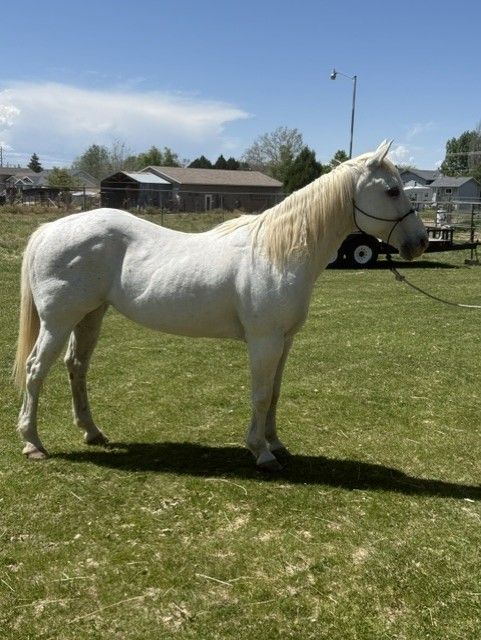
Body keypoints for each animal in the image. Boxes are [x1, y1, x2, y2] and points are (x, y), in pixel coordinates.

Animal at [13, 140, 429, 470]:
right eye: (393, 191)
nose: (421, 242)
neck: (277, 253)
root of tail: (50, 230)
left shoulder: (284, 341)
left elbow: (274, 393)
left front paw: (276, 443)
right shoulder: (264, 341)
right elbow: (260, 394)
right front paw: (261, 451)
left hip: (90, 316)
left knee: (76, 367)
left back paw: (92, 431)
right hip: (58, 322)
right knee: (35, 370)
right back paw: (32, 443)